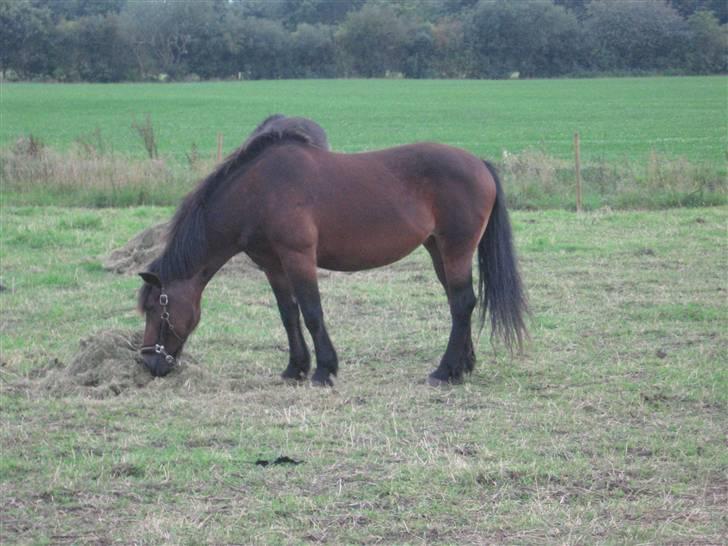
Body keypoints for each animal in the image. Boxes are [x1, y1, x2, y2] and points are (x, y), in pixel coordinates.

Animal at [136, 120, 528, 382]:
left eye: (157, 308)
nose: (149, 363)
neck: (258, 191)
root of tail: (480, 164)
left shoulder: (298, 257)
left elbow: (312, 312)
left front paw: (325, 369)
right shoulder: (273, 265)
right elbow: (289, 314)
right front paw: (295, 368)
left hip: (456, 248)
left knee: (462, 303)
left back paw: (445, 371)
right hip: (438, 251)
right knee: (459, 303)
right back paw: (463, 365)